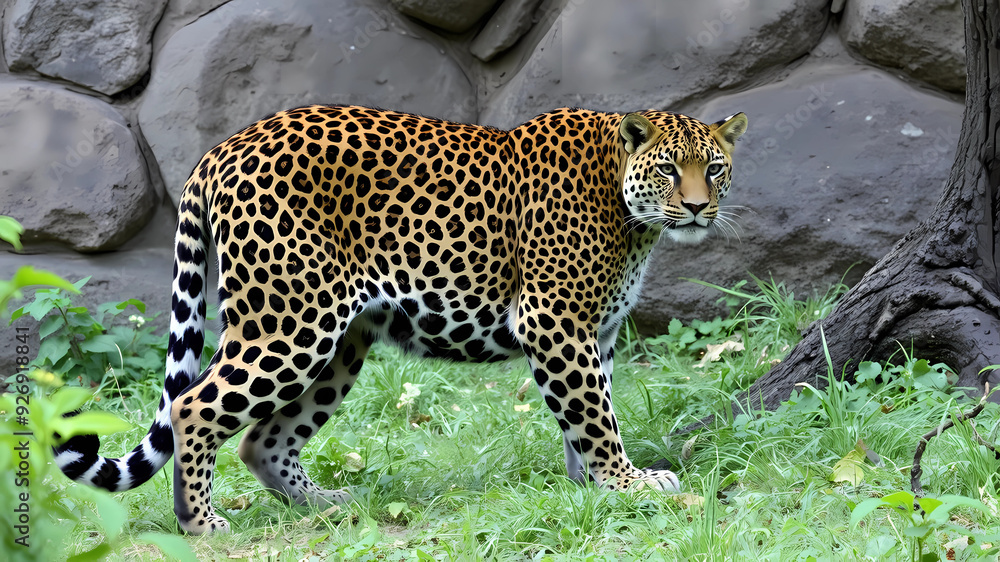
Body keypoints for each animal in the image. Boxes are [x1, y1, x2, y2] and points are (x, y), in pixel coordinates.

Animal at [55, 104, 748, 534]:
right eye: (668, 168)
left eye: (714, 168)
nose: (697, 208)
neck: (631, 215)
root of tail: (222, 148)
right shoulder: (555, 320)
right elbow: (595, 415)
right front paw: (629, 484)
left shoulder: (592, 330)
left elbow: (583, 415)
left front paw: (591, 489)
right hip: (290, 324)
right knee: (193, 405)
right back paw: (201, 523)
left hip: (338, 342)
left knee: (262, 439)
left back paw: (326, 504)